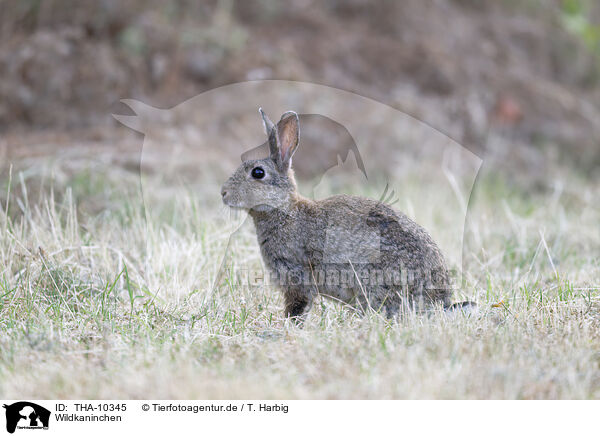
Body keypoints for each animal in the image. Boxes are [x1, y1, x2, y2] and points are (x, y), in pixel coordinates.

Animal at [221, 109, 474, 320]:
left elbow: (299, 304)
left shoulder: (296, 274)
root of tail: (439, 302)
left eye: (258, 173)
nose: (223, 193)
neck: (284, 211)